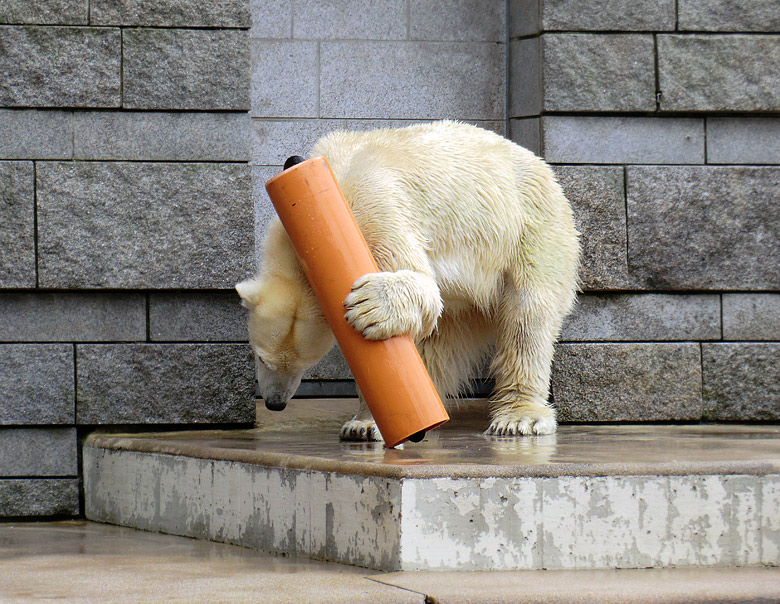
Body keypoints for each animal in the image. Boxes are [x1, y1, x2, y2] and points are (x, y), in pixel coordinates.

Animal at [238, 121, 580, 438]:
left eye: (306, 364)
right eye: (262, 358)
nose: (275, 403)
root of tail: (543, 166)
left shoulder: (372, 210)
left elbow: (419, 281)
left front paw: (369, 306)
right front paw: (363, 424)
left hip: (529, 229)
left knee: (528, 317)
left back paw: (519, 417)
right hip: (465, 297)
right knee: (437, 341)